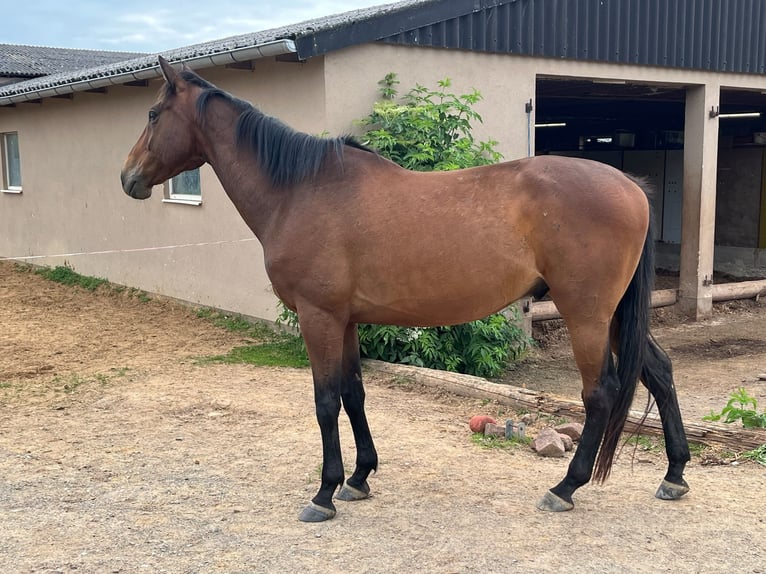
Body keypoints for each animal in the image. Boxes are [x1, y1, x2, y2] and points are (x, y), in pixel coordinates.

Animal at [121, 56, 690, 522]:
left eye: (152, 115)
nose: (128, 178)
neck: (301, 191)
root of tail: (630, 186)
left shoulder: (317, 316)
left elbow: (325, 400)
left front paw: (323, 494)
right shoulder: (345, 320)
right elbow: (354, 393)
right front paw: (358, 478)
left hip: (586, 313)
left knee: (601, 393)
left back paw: (565, 487)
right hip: (613, 315)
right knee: (660, 372)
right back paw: (674, 475)